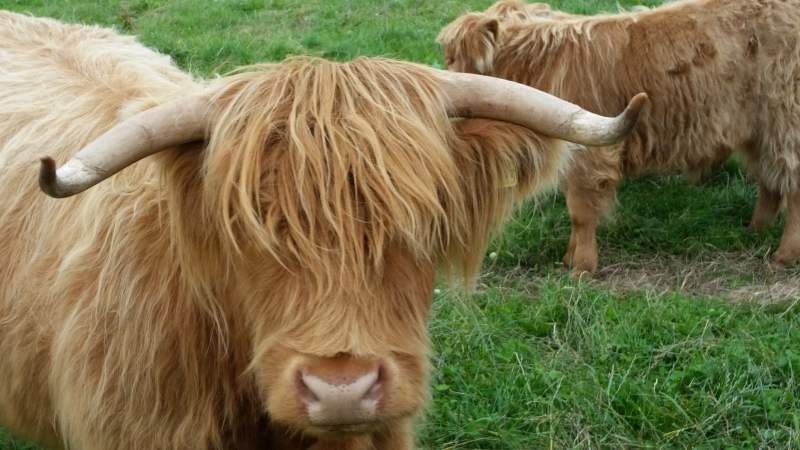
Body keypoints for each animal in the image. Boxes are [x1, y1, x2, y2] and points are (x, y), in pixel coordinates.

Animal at [440, 0, 800, 276]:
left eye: (453, 58)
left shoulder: (589, 154)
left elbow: (581, 212)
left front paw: (581, 268)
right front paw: (569, 259)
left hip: (785, 121)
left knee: (790, 184)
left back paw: (784, 255)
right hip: (756, 129)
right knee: (768, 179)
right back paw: (755, 228)